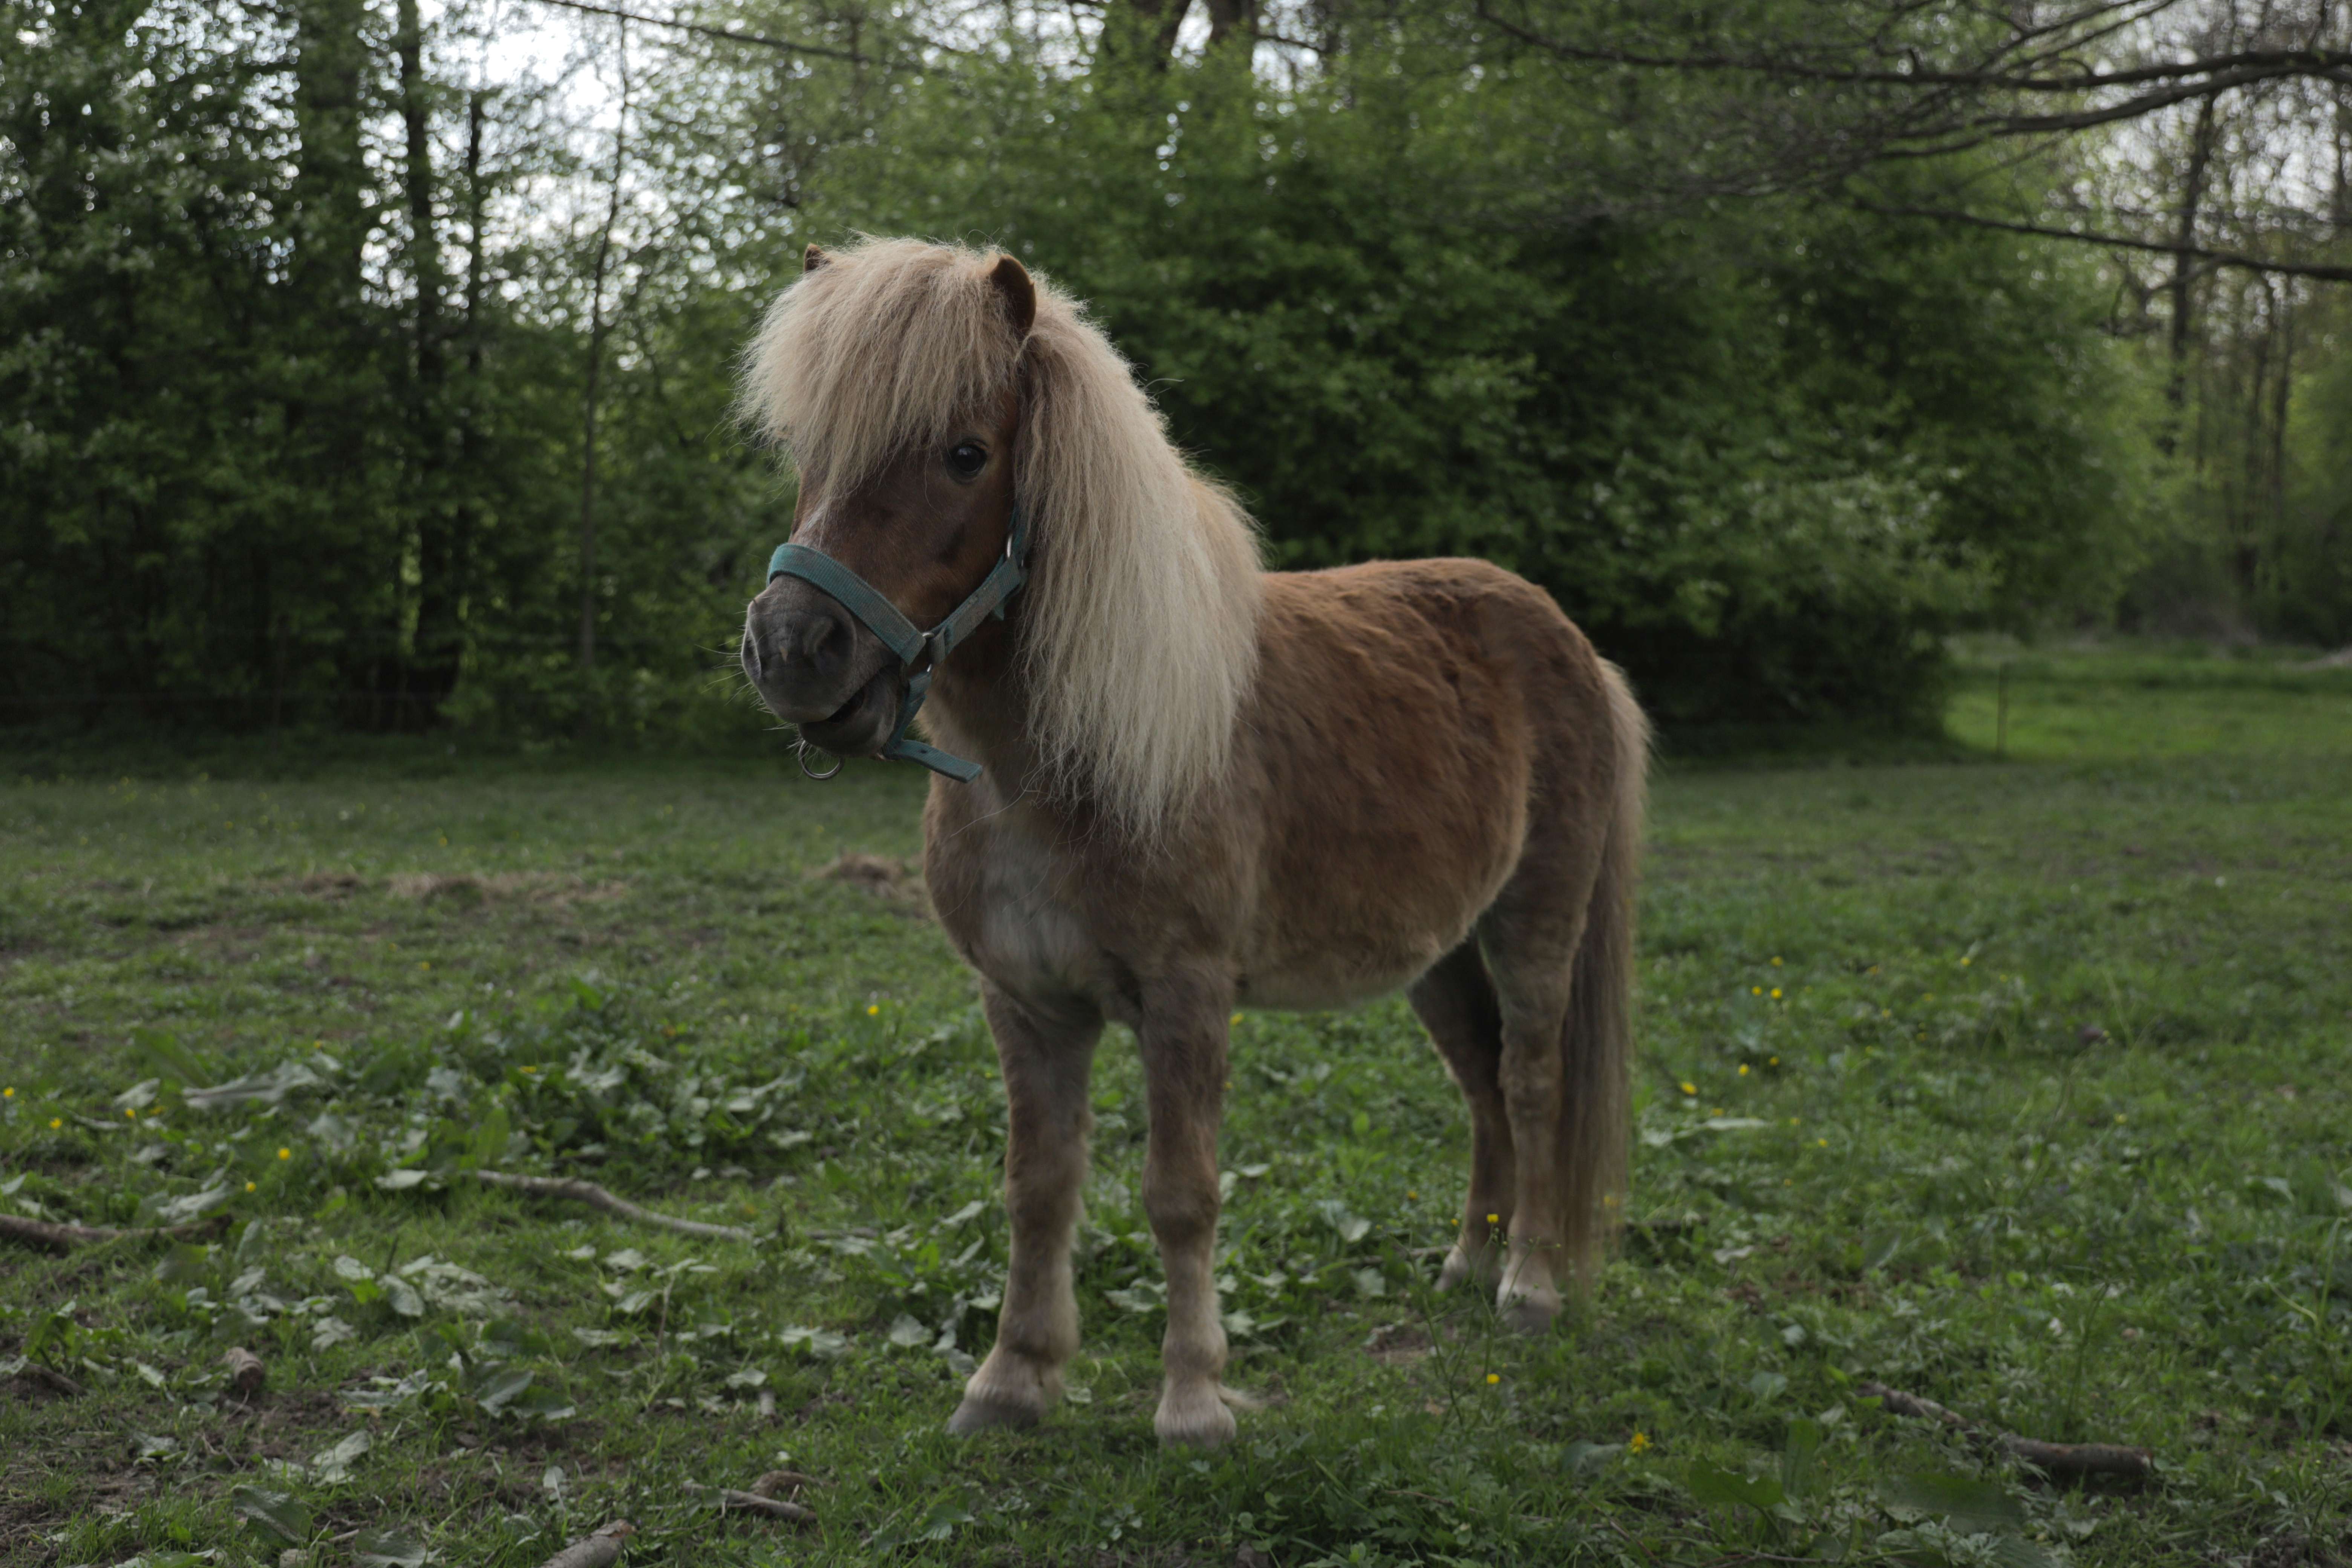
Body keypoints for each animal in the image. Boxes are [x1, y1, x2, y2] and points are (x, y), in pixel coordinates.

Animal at [743, 240, 1646, 1457]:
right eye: (807, 449)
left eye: (965, 453)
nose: (794, 648)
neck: (1064, 764)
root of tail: (1568, 640)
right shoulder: (1027, 1004)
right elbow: (1038, 1187)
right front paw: (1011, 1380)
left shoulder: (1186, 995)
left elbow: (1181, 1194)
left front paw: (1192, 1401)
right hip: (1438, 955)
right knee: (1479, 1086)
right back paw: (1467, 1263)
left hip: (1536, 924)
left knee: (1533, 1079)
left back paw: (1531, 1285)